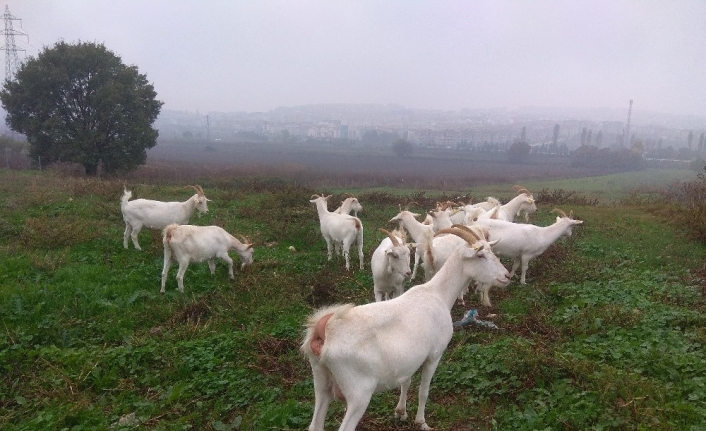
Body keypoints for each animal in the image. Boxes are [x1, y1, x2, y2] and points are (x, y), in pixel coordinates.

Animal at [300, 228, 508, 430]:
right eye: (480, 256)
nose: (506, 276)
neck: (437, 294)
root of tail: (324, 330)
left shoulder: (410, 360)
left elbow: (406, 381)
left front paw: (401, 412)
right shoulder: (434, 355)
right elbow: (424, 391)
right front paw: (421, 422)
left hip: (321, 382)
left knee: (315, 424)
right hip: (359, 392)